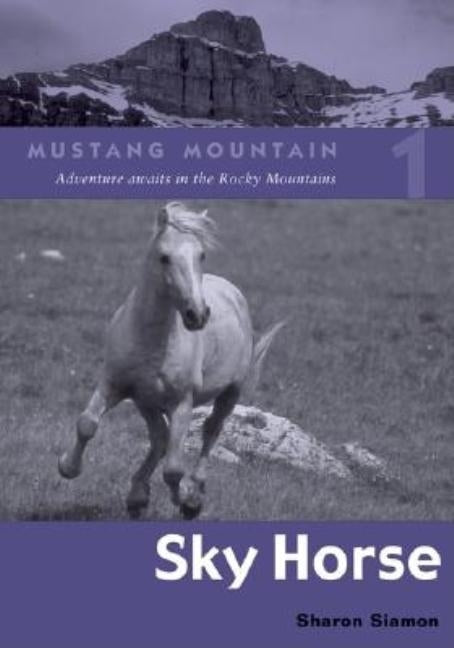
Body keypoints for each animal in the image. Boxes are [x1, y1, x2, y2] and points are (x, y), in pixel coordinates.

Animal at [58, 202, 284, 519]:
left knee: (210, 432)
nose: (197, 314)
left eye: (201, 255)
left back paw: (193, 493)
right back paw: (137, 496)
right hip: (148, 402)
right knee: (160, 439)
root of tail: (231, 291)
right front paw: (67, 467)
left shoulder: (182, 403)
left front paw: (186, 500)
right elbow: (87, 424)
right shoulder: (114, 385)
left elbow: (174, 470)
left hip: (230, 393)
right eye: (164, 257)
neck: (151, 339)